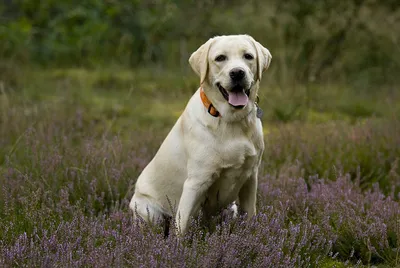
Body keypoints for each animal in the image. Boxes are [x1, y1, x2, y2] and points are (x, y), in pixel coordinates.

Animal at [130, 34, 272, 234]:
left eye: (248, 56)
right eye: (220, 58)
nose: (237, 73)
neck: (231, 120)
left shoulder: (251, 178)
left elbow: (250, 216)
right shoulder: (196, 182)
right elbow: (181, 229)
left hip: (231, 209)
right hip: (149, 212)